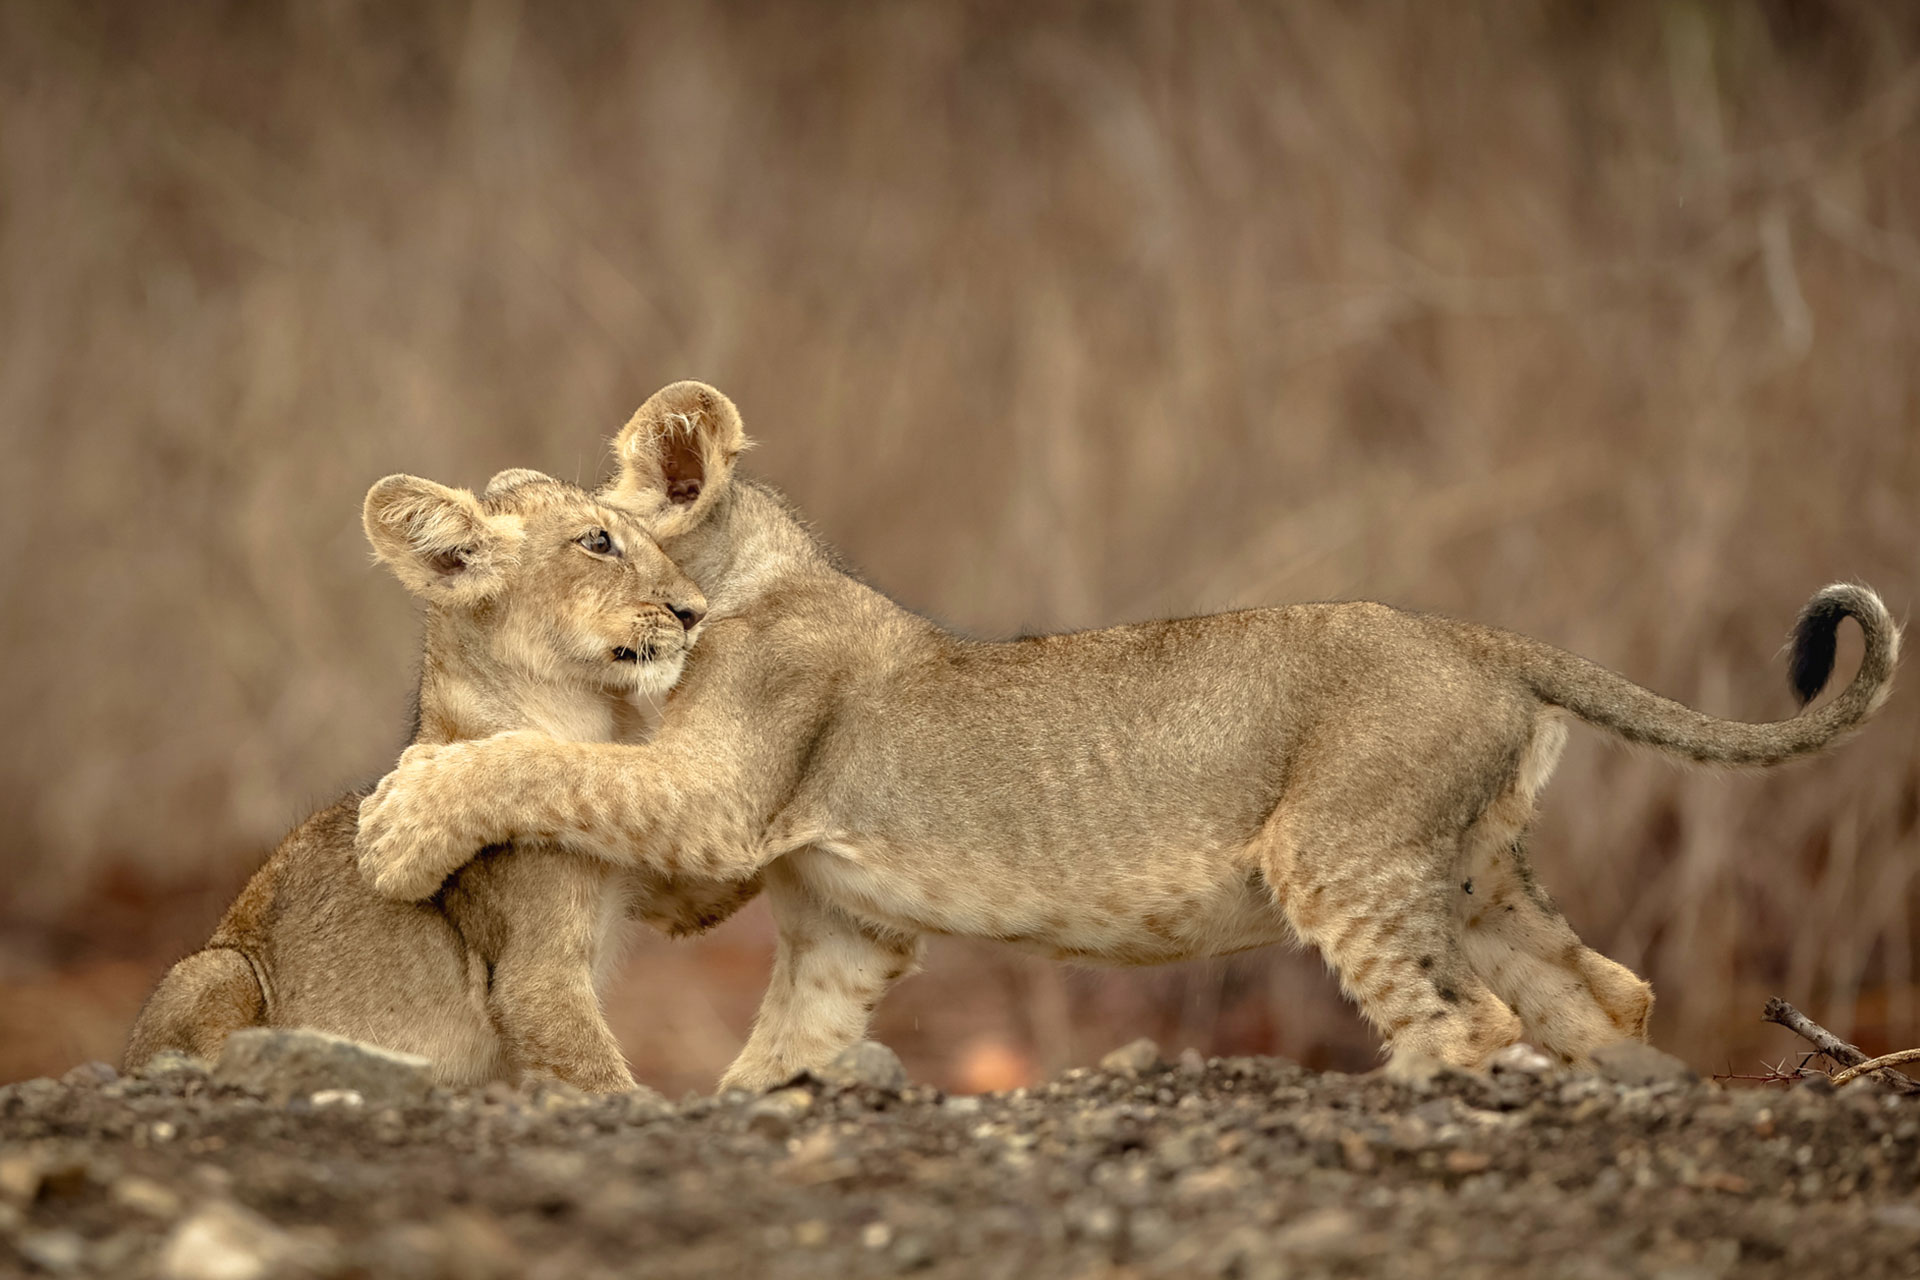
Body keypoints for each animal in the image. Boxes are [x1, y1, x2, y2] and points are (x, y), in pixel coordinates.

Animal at [125, 469, 757, 1090]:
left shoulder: (668, 883)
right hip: (214, 969)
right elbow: (597, 1077)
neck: (592, 721)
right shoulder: (534, 976)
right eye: (598, 542)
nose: (696, 611)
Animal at [353, 382, 1899, 1090]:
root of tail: (1482, 639)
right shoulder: (828, 907)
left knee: (1469, 1018)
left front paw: (399, 820)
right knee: (1601, 989)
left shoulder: (715, 799)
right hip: (1470, 868)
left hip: (1344, 851)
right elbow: (788, 1027)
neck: (753, 575)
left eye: (599, 529)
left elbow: (541, 758)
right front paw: (761, 1098)